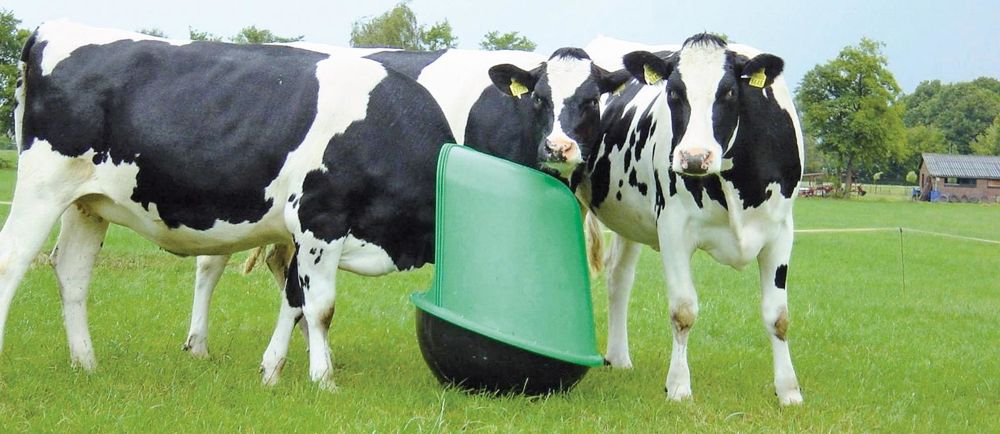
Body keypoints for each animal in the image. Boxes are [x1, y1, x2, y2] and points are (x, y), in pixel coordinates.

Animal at [2, 20, 465, 389]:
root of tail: (51, 29)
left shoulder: (301, 237)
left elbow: (293, 299)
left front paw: (272, 370)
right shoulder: (319, 220)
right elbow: (319, 308)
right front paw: (323, 380)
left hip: (87, 202)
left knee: (72, 271)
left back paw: (87, 364)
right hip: (42, 186)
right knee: (12, 259)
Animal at [183, 44, 633, 385]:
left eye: (592, 100)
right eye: (540, 97)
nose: (559, 147)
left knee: (281, 267)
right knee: (212, 262)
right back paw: (198, 345)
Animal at [575, 34, 805, 404]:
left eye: (729, 92)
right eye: (673, 92)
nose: (694, 158)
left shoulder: (781, 231)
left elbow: (778, 316)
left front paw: (788, 391)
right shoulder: (673, 228)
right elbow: (683, 311)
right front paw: (679, 386)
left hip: (628, 217)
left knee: (619, 278)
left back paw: (619, 357)